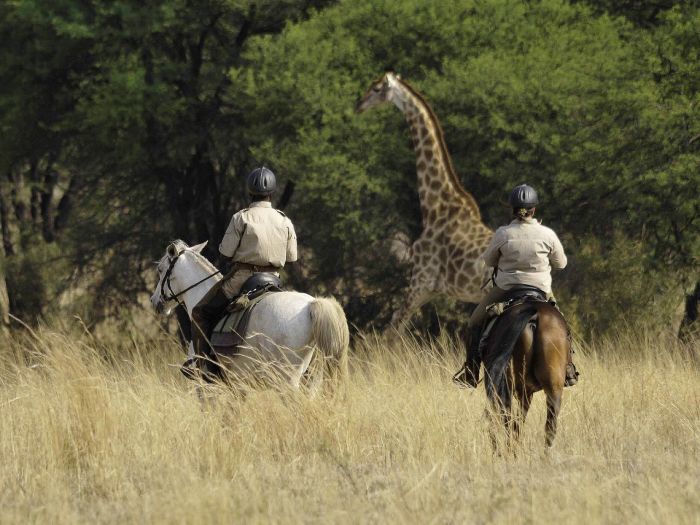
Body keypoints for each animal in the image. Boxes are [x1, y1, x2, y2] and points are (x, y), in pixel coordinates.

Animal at [149, 241, 348, 388]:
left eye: (160, 269)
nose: (154, 300)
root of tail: (310, 305)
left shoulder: (206, 387)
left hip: (287, 380)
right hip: (312, 380)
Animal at [356, 71, 492, 326]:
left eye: (377, 88)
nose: (359, 105)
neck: (434, 208)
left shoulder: (420, 280)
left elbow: (394, 325)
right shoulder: (430, 289)